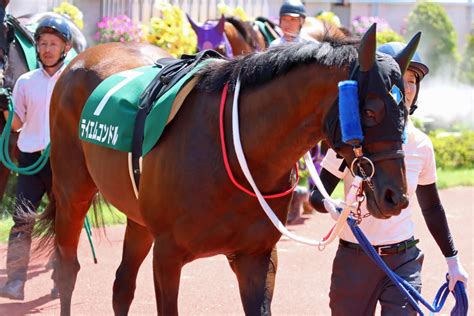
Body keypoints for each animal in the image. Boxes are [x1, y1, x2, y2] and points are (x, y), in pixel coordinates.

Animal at [36, 25, 418, 316]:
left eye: (406, 110)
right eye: (370, 110)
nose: (395, 196)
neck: (236, 151)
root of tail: (79, 60)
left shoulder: (257, 256)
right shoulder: (168, 256)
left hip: (139, 218)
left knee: (122, 284)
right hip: (72, 192)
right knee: (67, 270)